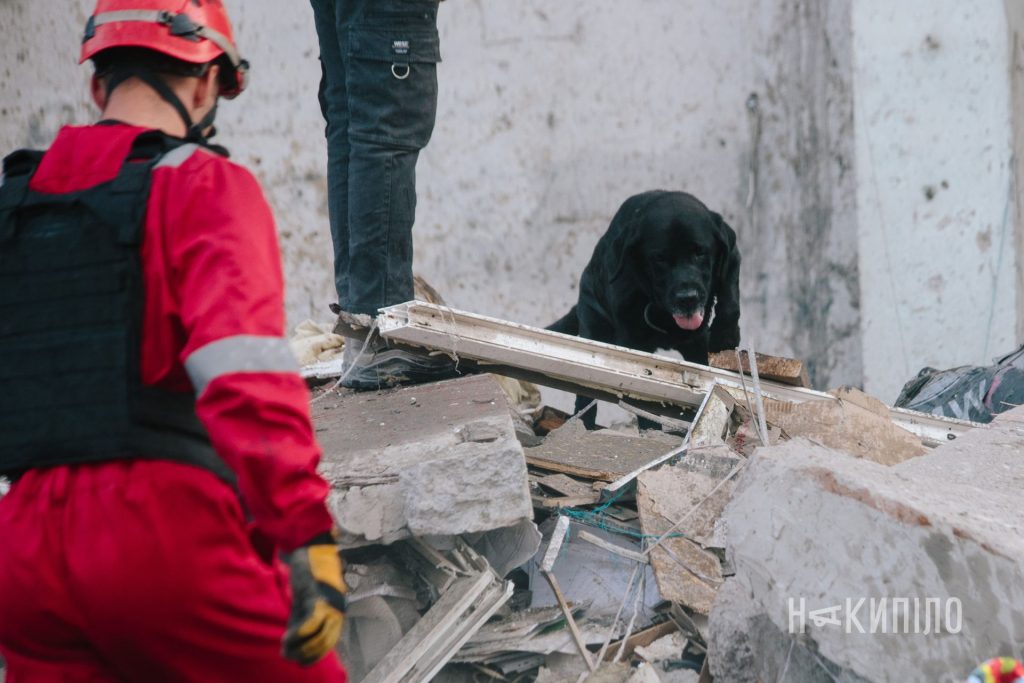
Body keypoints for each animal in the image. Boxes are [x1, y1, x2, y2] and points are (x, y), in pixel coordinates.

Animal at [548, 192, 741, 423]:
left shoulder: (732, 256)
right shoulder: (634, 343)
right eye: (660, 258)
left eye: (700, 252)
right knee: (585, 395)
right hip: (592, 326)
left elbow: (730, 298)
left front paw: (725, 335)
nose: (687, 298)